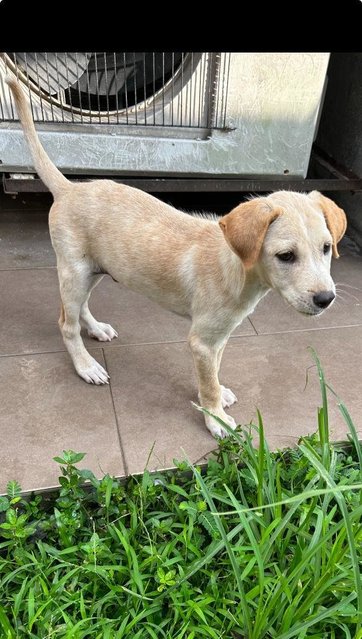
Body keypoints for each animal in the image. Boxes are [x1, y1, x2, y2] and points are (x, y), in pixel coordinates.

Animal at [4, 75, 346, 436]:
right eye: (286, 256)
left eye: (326, 248)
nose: (326, 299)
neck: (238, 269)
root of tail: (69, 188)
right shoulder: (202, 340)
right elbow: (207, 382)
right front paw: (215, 418)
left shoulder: (218, 338)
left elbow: (213, 372)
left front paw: (218, 394)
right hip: (74, 270)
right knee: (66, 324)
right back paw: (86, 366)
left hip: (93, 269)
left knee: (81, 306)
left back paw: (96, 328)